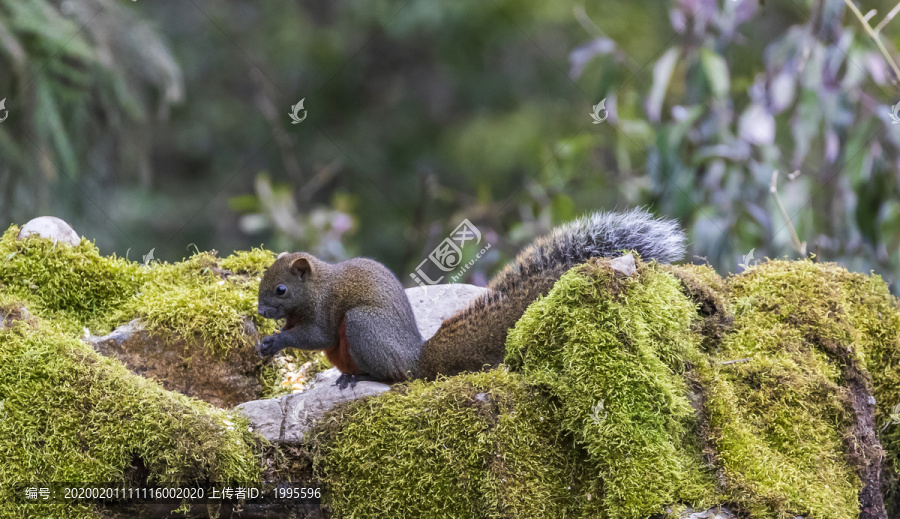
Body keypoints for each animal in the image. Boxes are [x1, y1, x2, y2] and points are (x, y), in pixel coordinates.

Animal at [256, 209, 684, 388]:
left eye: (281, 289)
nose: (260, 311)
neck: (314, 286)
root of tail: (417, 359)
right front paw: (265, 342)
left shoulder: (325, 309)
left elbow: (318, 336)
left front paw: (276, 340)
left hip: (363, 326)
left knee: (391, 375)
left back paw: (359, 376)